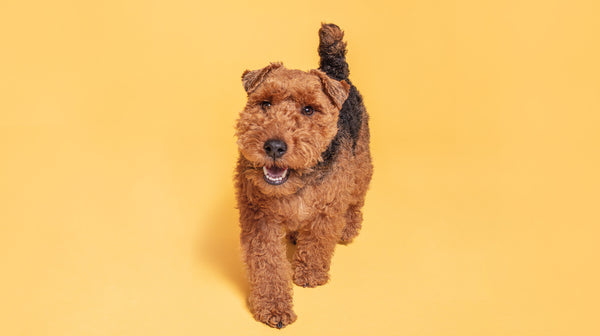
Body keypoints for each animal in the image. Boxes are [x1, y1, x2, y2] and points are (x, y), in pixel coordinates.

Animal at [233, 23, 370, 328]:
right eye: (265, 103)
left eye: (309, 109)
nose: (274, 146)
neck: (297, 183)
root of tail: (336, 73)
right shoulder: (261, 221)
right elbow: (269, 265)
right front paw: (274, 308)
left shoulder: (327, 209)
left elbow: (318, 242)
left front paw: (310, 274)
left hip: (361, 164)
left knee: (356, 200)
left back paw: (348, 228)